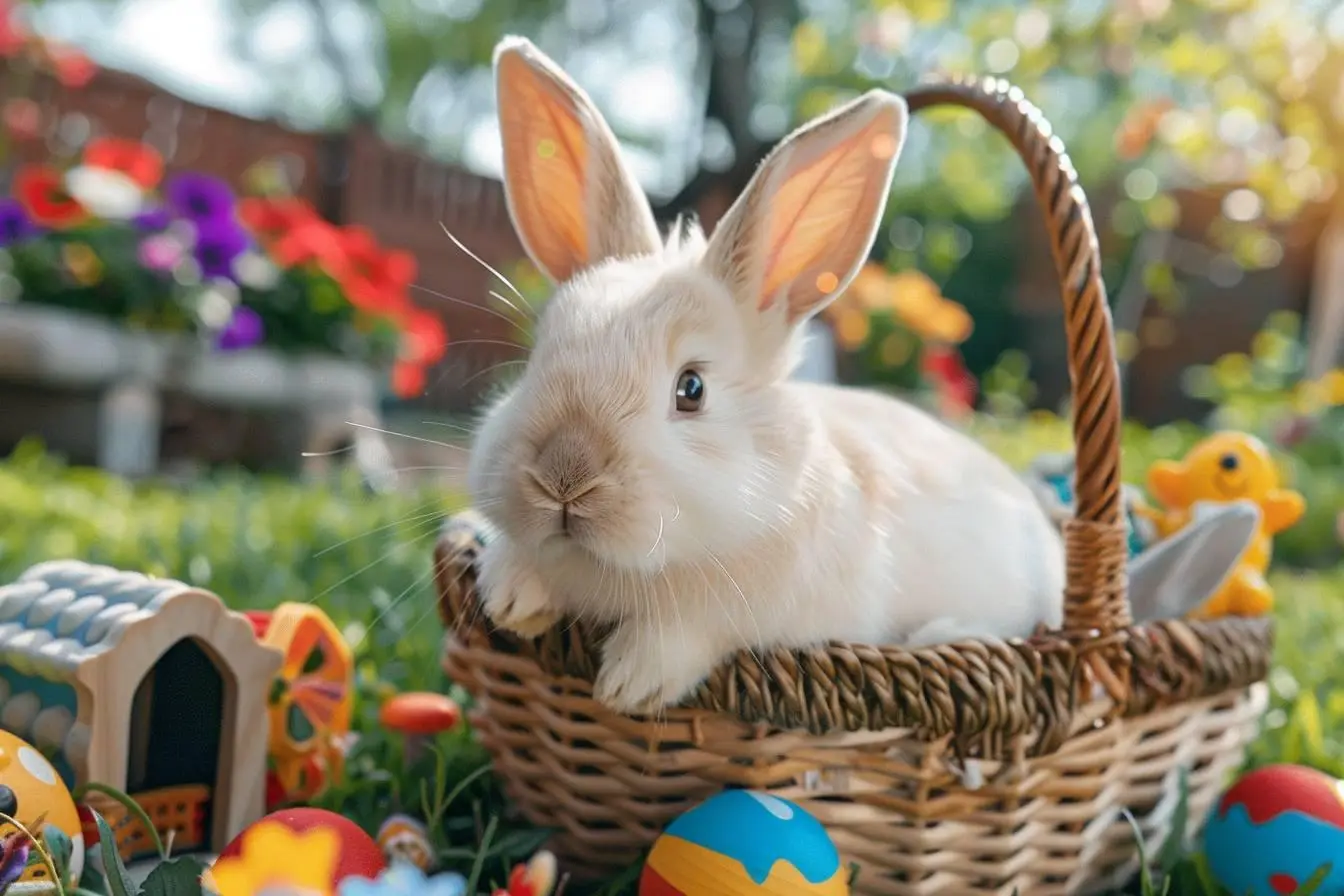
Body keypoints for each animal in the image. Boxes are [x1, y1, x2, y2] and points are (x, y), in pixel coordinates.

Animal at [466, 35, 1068, 715]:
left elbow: (686, 633)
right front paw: (510, 600)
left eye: (691, 388)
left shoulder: (747, 615)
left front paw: (628, 685)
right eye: (538, 355)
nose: (564, 478)